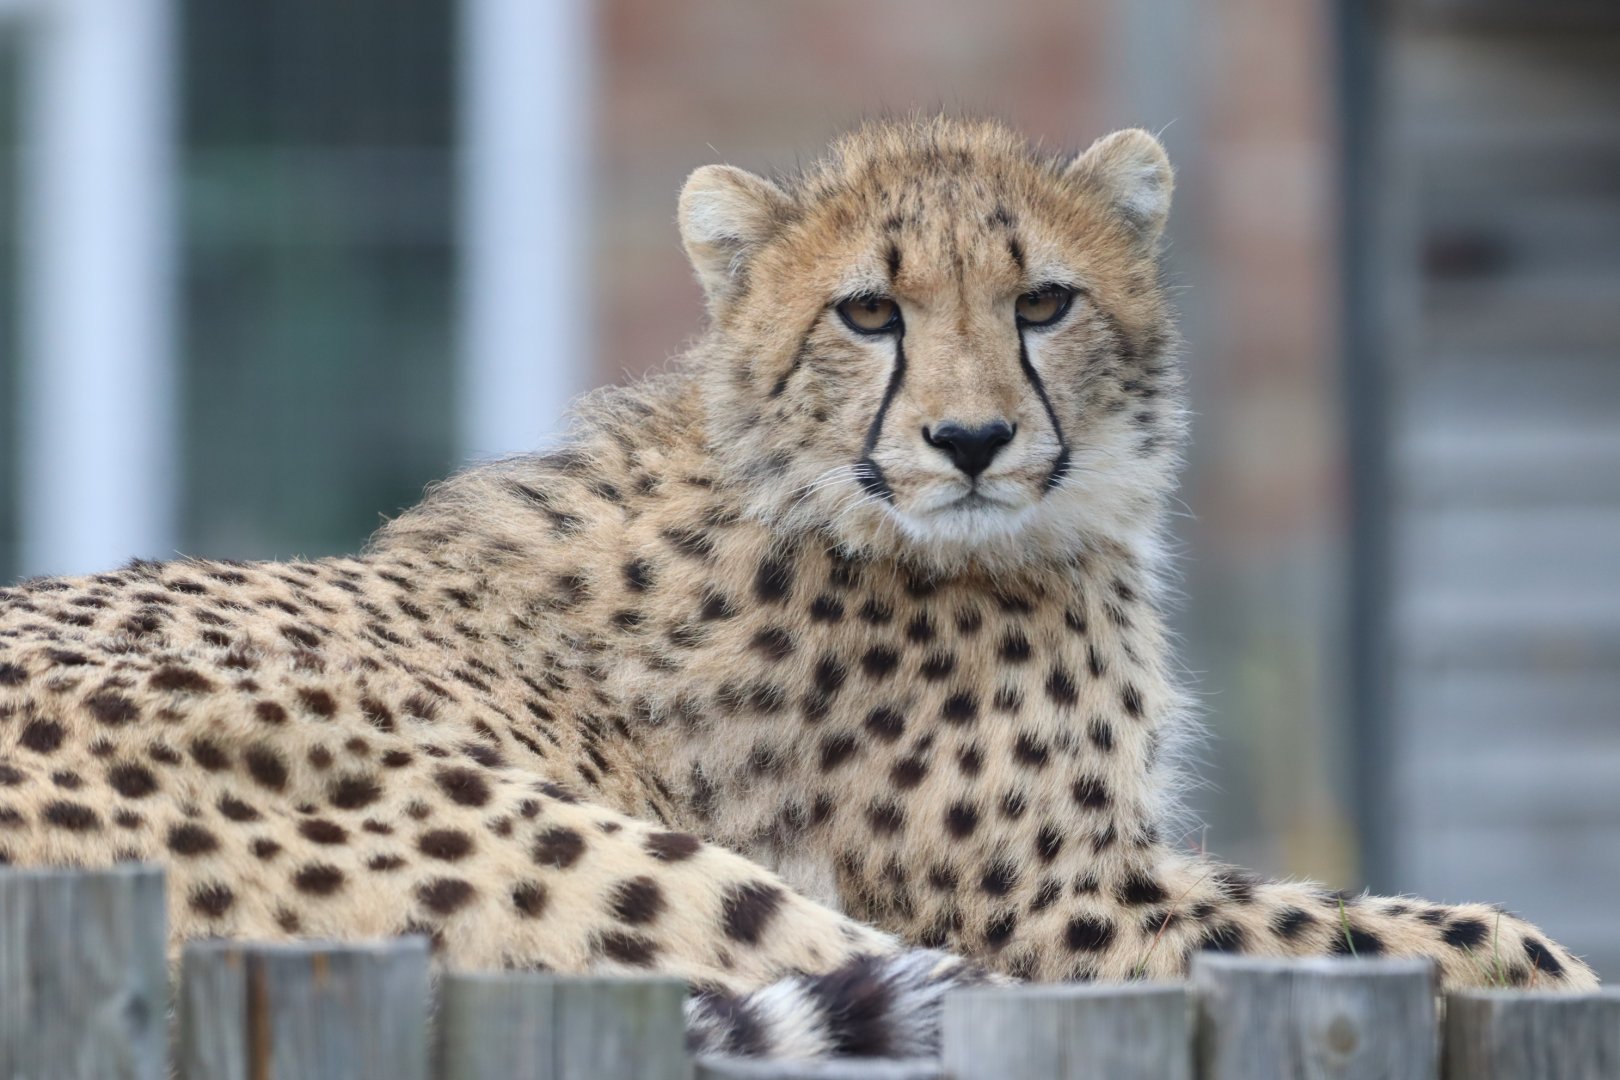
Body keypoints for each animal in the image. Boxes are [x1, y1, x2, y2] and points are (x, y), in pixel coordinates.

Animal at [0, 116, 1596, 1060]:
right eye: (869, 312)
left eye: (1043, 301)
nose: (971, 440)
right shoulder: (1063, 904)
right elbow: (1458, 932)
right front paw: (1557, 970)